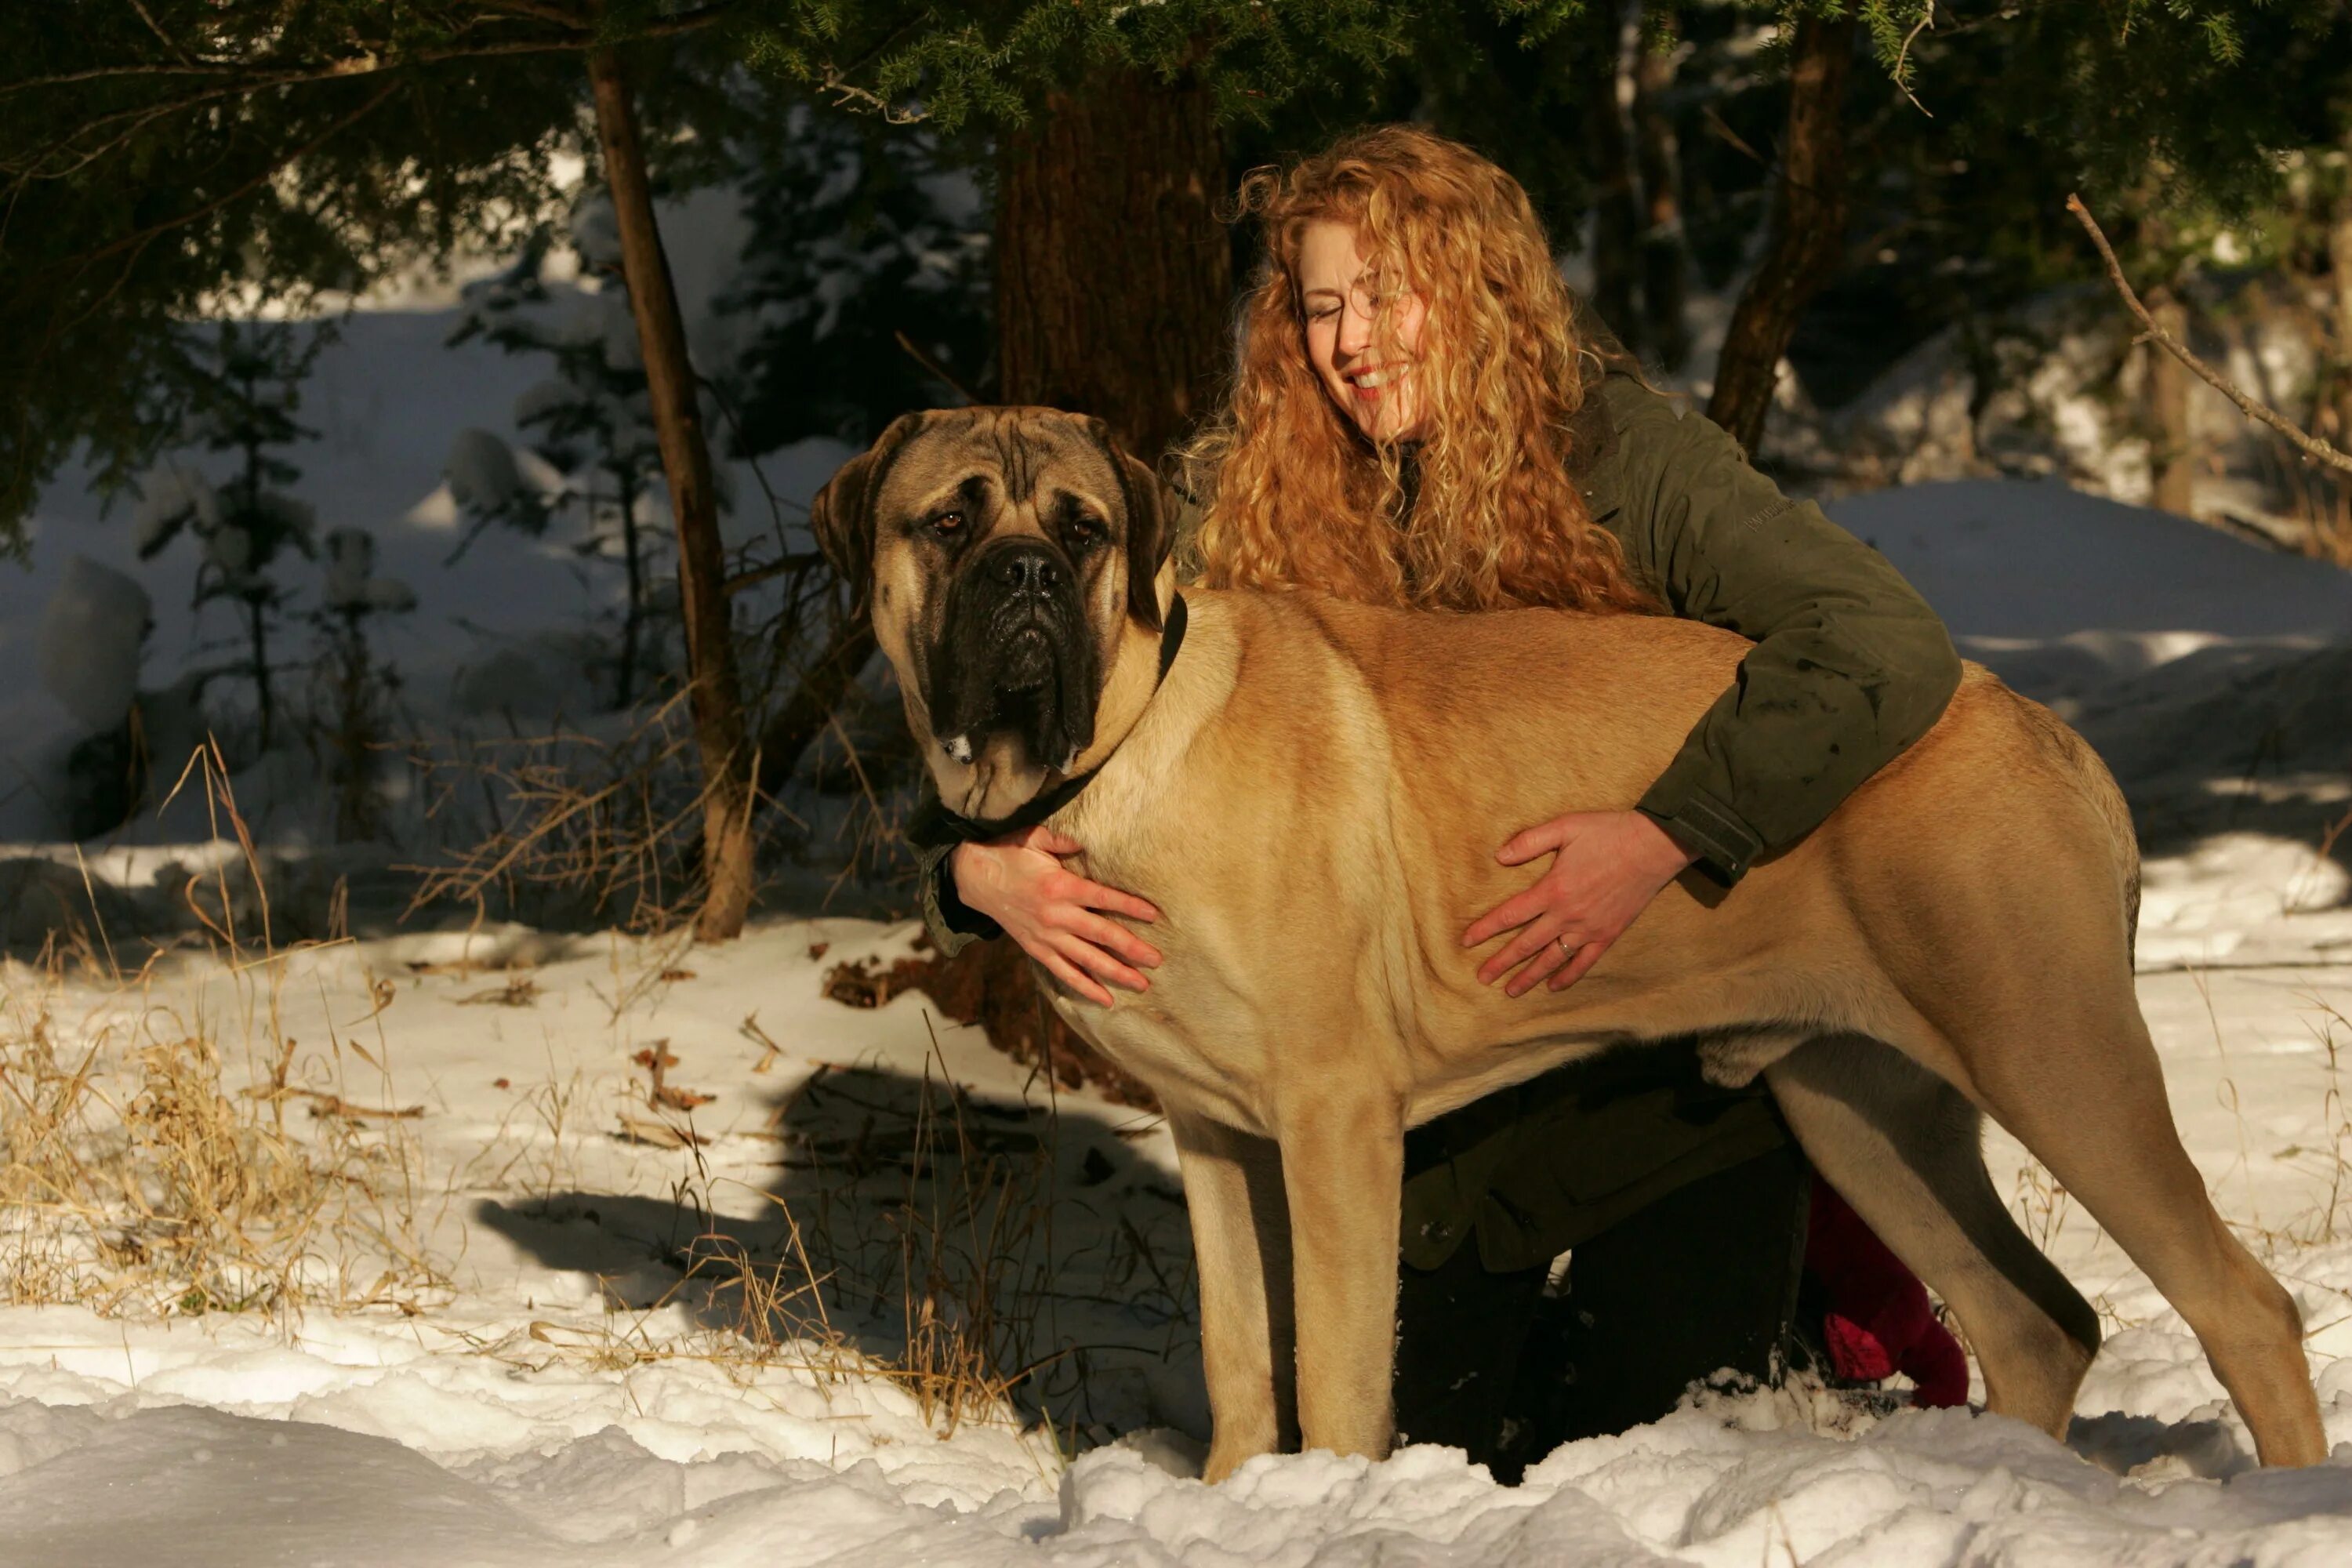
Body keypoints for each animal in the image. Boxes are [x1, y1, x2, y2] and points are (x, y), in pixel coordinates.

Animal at [818, 408, 2324, 1486]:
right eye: (948, 521)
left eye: (1081, 532)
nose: (1024, 576)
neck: (1119, 746)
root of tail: (2044, 728)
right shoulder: (1218, 1134)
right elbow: (1246, 1351)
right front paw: (1239, 1499)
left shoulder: (1334, 1119)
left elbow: (1342, 1366)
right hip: (1862, 1109)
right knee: (2034, 1324)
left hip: (2055, 1052)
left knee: (2244, 1308)